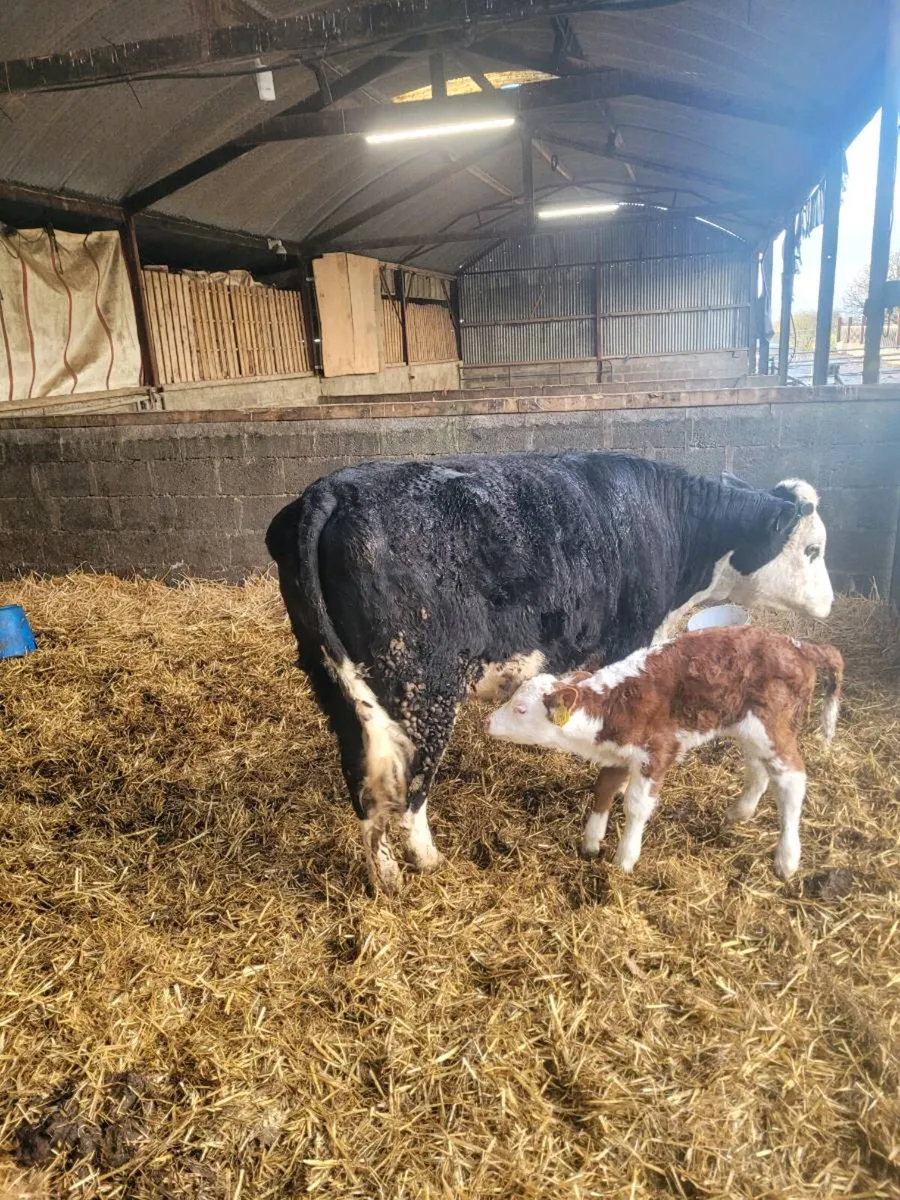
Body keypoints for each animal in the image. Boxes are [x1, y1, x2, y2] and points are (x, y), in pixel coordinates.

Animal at [486, 625, 844, 880]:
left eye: (520, 709)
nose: (488, 721)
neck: (618, 704)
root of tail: (799, 646)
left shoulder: (656, 753)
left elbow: (636, 806)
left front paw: (624, 859)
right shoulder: (620, 752)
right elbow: (603, 789)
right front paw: (591, 843)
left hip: (775, 728)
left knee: (792, 780)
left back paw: (787, 858)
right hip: (748, 727)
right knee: (758, 769)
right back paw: (739, 812)